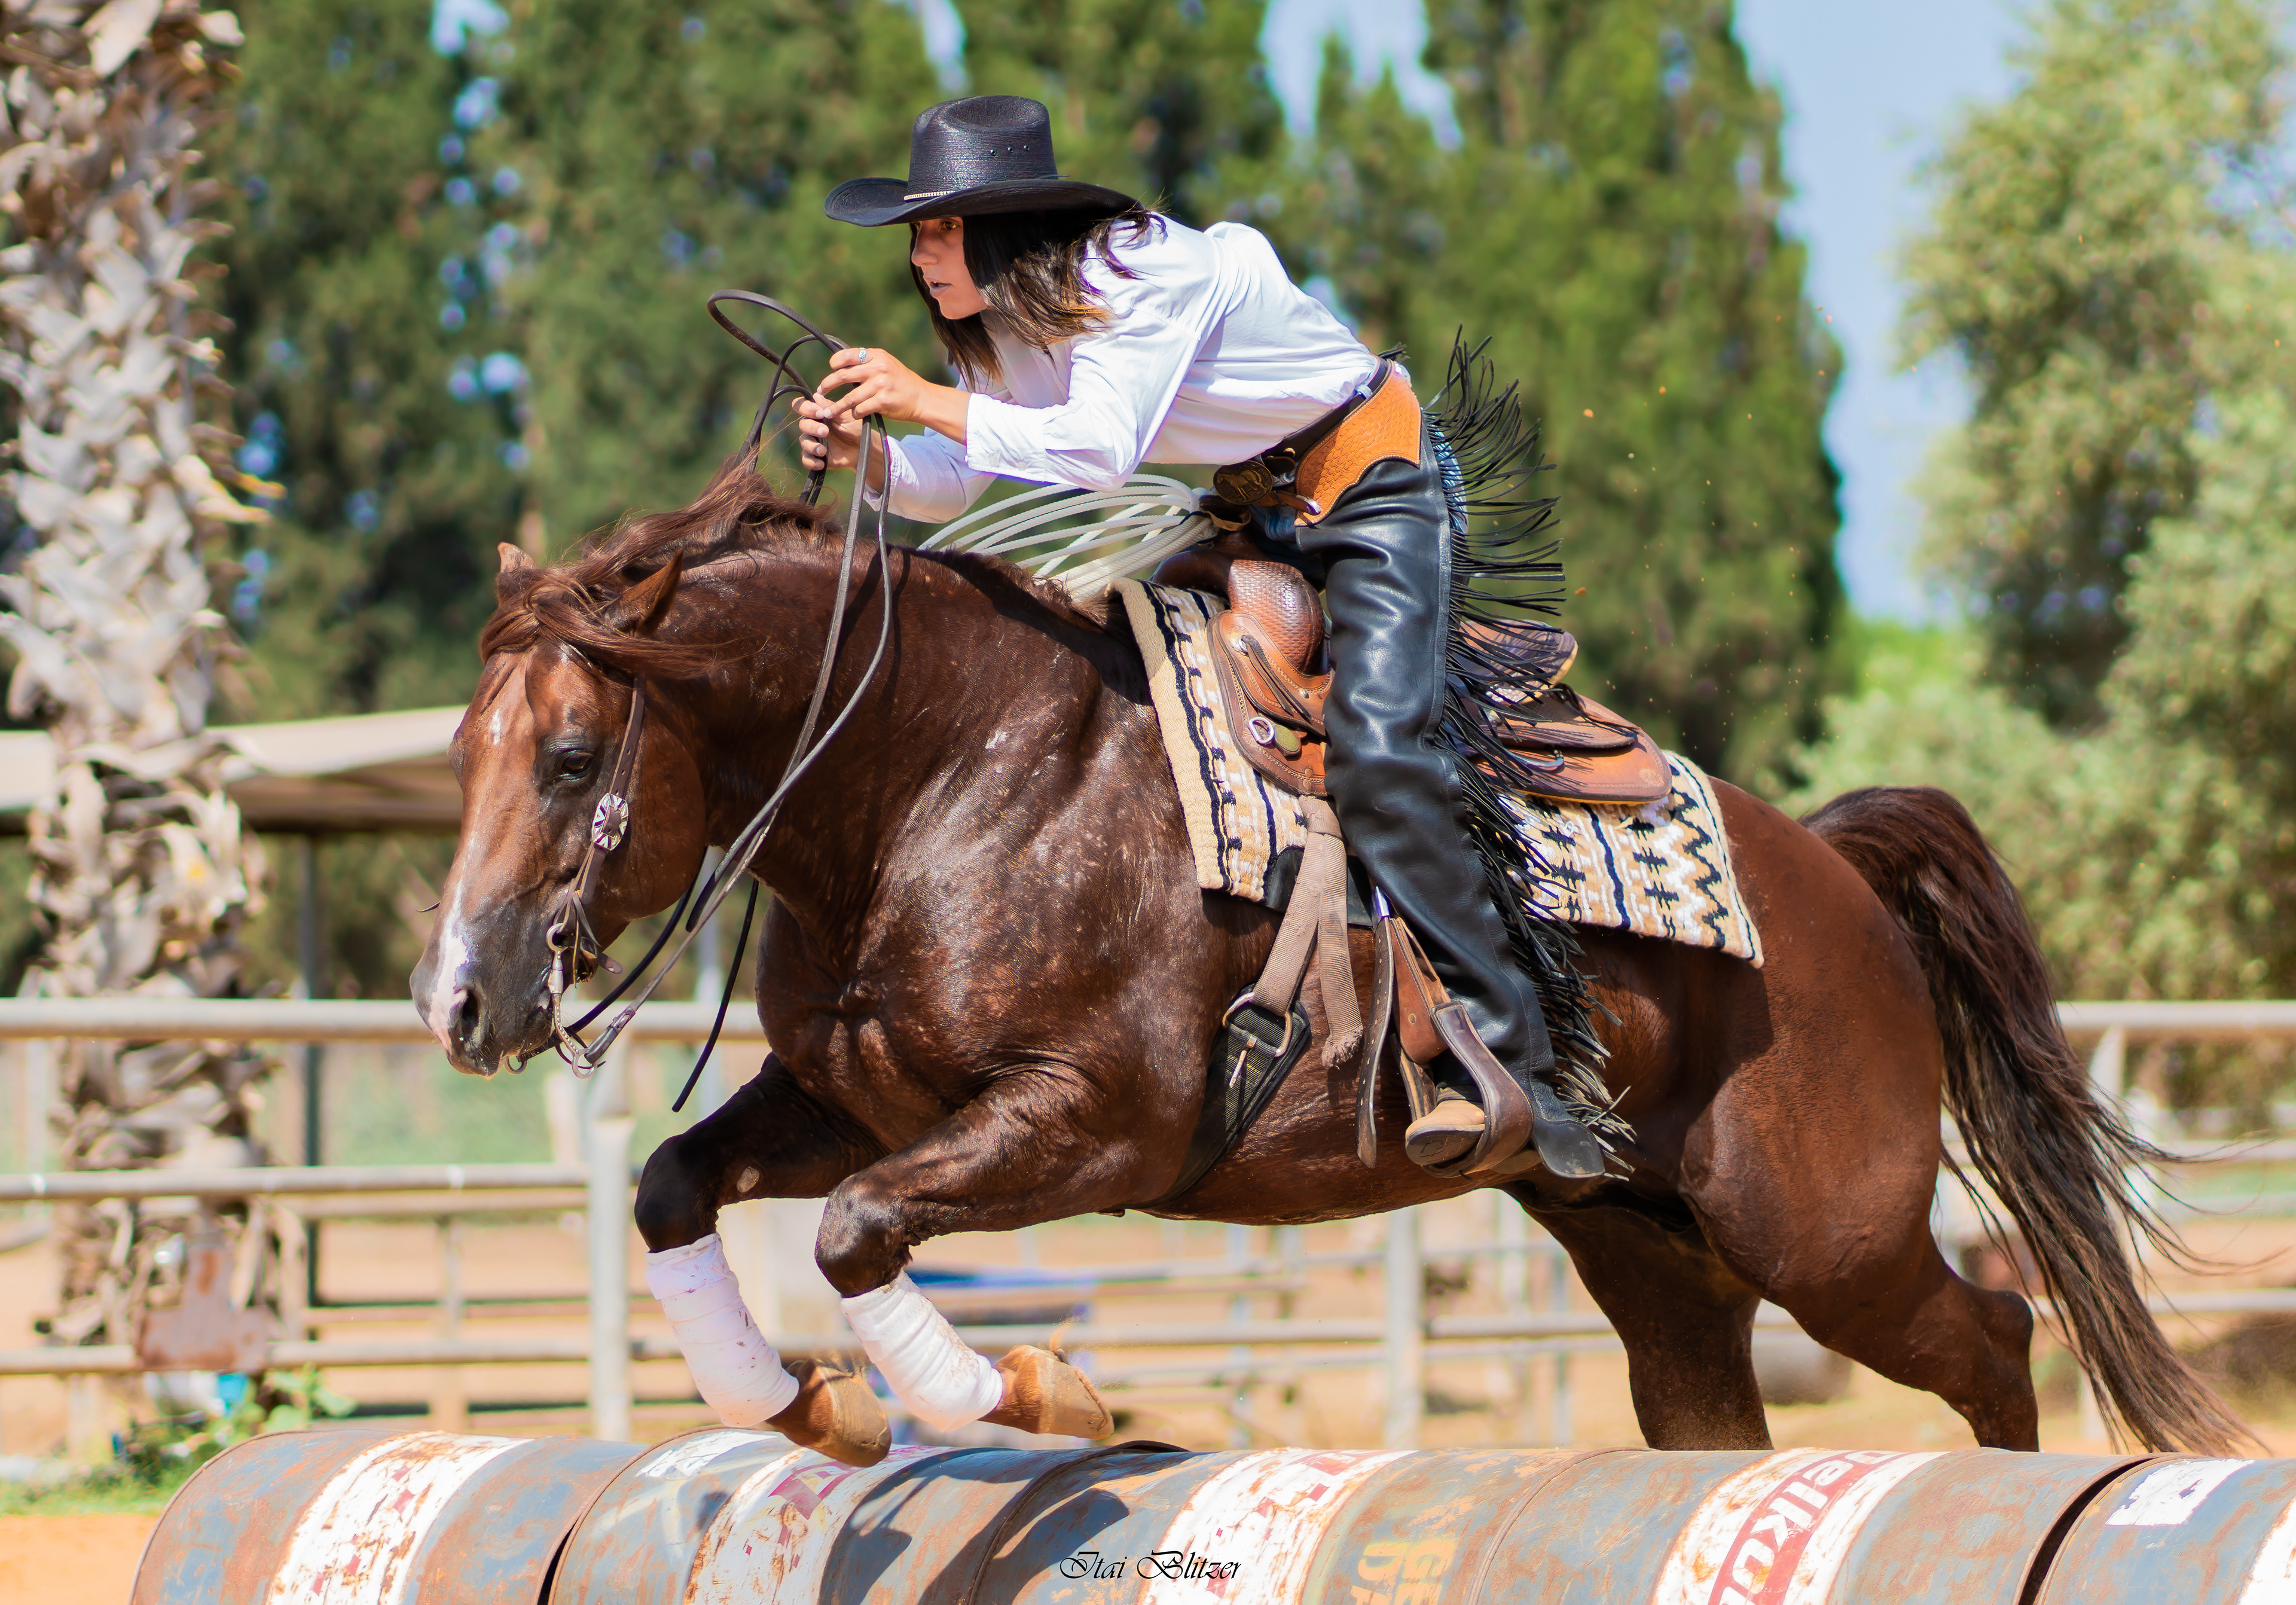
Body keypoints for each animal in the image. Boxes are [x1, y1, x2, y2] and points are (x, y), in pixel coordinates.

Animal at [411, 464, 2249, 1462]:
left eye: (567, 757)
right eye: (459, 749)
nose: (462, 1001)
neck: (949, 766)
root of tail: (1831, 869)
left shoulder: (1099, 1119)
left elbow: (859, 1233)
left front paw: (1038, 1392)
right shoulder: (853, 1097)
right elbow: (675, 1184)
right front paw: (812, 1410)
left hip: (1823, 1229)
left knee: (1993, 1333)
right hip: (1653, 1250)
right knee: (1717, 1415)